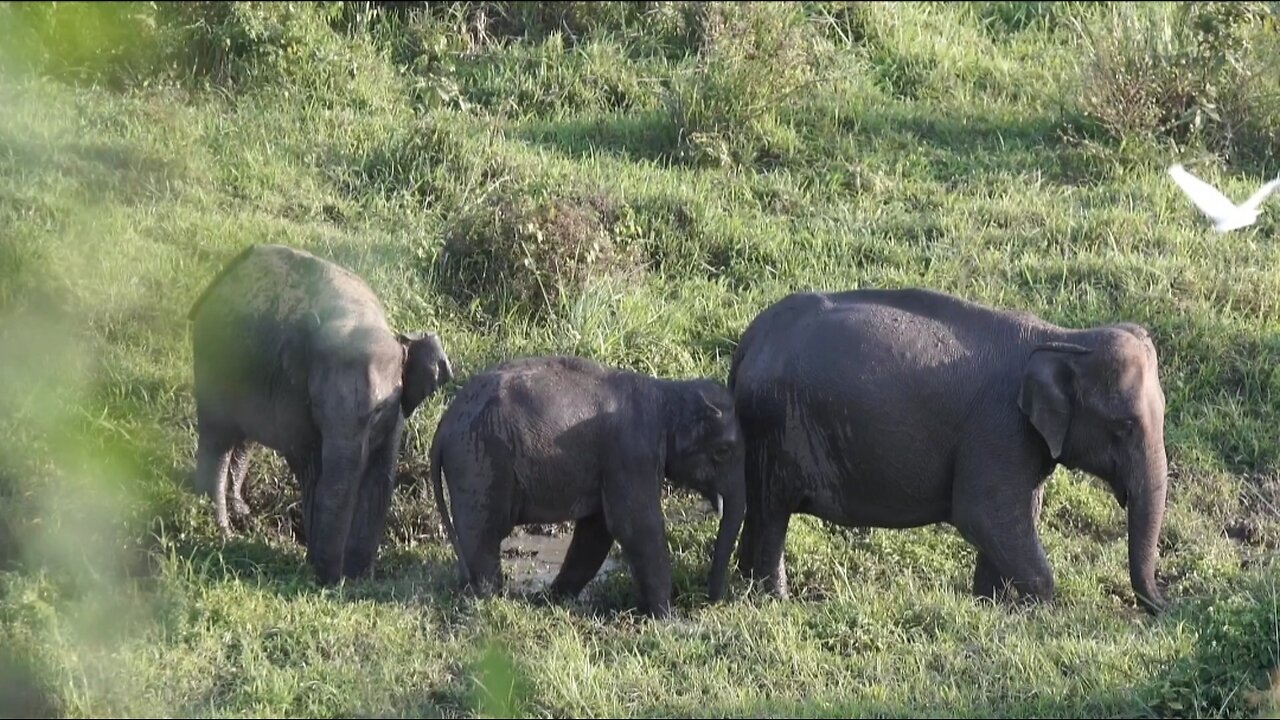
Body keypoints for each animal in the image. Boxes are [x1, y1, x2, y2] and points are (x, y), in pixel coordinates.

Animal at [186, 240, 453, 584]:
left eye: (379, 410)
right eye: (316, 406)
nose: (331, 581)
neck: (358, 318)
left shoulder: (396, 417)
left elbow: (380, 476)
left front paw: (359, 578)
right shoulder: (294, 401)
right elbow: (312, 469)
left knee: (242, 441)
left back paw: (243, 517)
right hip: (212, 358)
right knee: (218, 440)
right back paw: (222, 533)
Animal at [430, 353, 747, 617]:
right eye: (723, 451)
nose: (709, 600)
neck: (668, 393)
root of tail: (444, 425)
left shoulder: (610, 463)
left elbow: (598, 530)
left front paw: (552, 600)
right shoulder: (630, 454)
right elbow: (634, 526)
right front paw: (667, 618)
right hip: (480, 462)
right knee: (484, 533)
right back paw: (488, 599)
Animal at [732, 288, 1172, 614]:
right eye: (1124, 427)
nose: (1165, 609)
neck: (1067, 338)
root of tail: (749, 341)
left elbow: (1012, 516)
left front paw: (990, 606)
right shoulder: (998, 427)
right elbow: (982, 513)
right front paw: (1037, 609)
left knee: (759, 510)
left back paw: (745, 586)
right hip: (777, 429)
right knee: (773, 514)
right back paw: (775, 600)